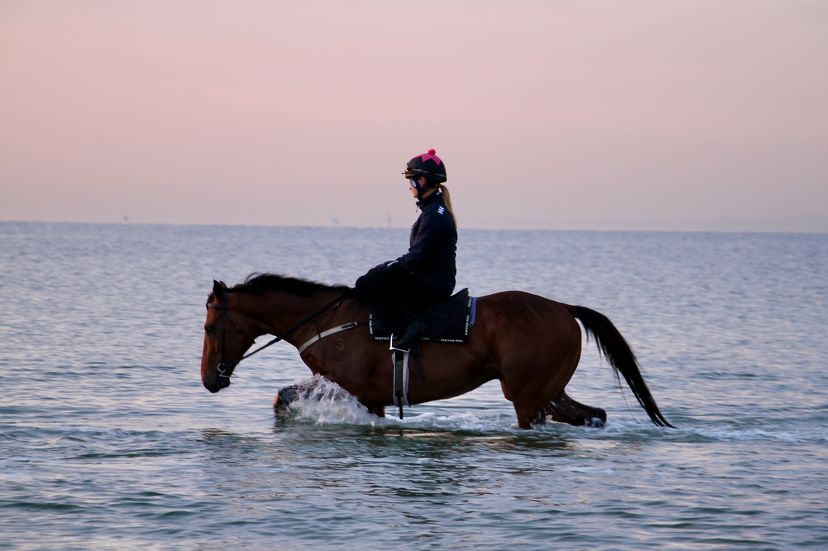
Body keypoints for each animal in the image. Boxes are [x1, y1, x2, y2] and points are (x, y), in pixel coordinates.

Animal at [201, 274, 672, 430]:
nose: (209, 379)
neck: (328, 320)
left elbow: (283, 399)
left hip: (528, 397)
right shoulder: (367, 396)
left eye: (208, 327)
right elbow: (282, 399)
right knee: (593, 415)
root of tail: (563, 309)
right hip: (550, 391)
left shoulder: (357, 391)